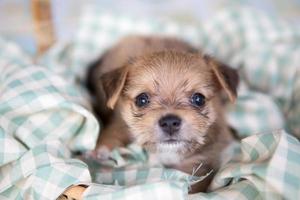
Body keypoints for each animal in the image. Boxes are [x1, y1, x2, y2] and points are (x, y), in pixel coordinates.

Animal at [86, 35, 239, 193]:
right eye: (141, 99)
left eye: (199, 99)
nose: (170, 122)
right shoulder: (120, 123)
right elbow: (114, 132)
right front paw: (101, 151)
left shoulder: (200, 162)